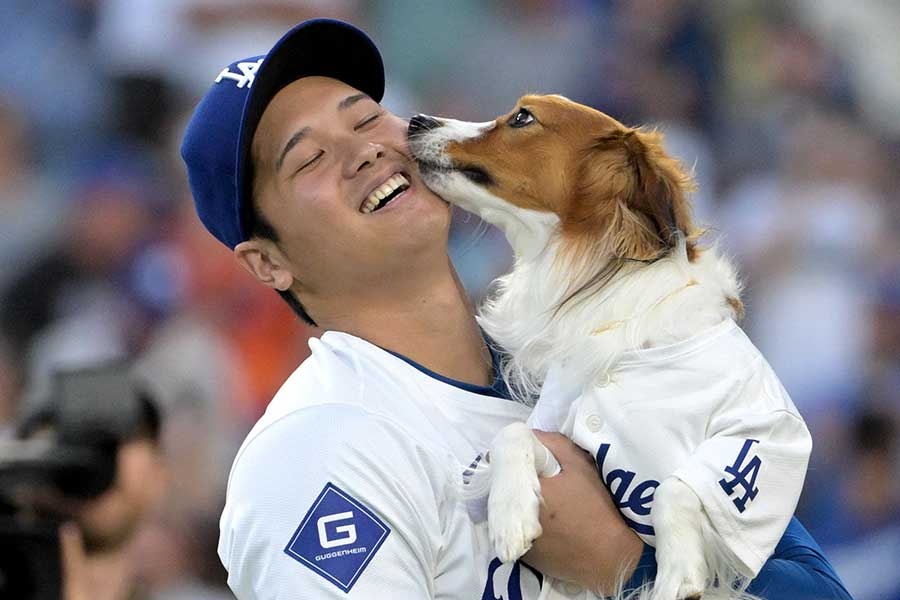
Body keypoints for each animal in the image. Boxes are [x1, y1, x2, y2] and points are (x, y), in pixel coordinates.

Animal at [404, 96, 812, 596]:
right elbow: (513, 433)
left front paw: (678, 572)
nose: (416, 121)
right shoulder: (566, 444)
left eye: (523, 117)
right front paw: (511, 512)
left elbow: (677, 488)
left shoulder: (769, 437)